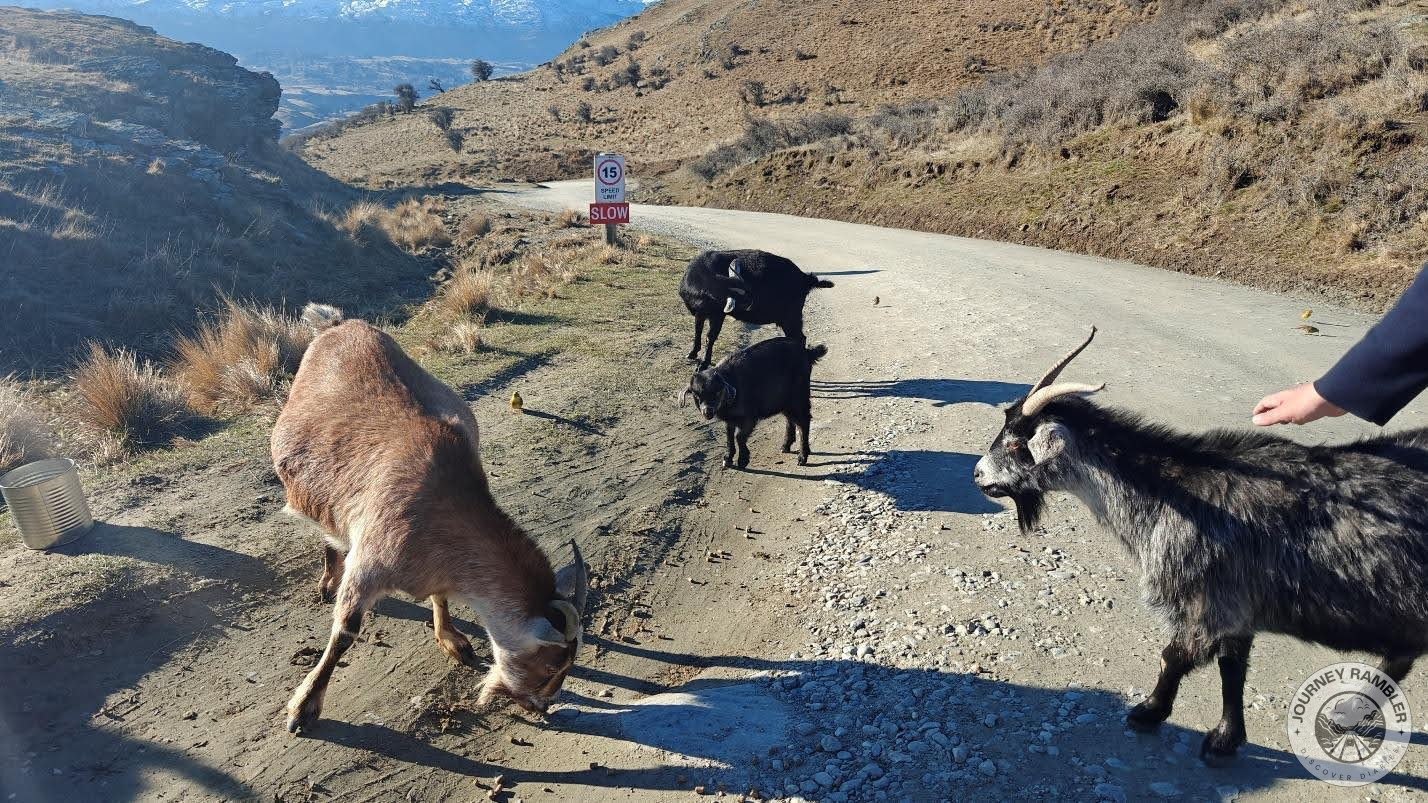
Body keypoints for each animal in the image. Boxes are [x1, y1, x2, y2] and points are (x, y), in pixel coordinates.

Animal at [271, 304, 589, 734]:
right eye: (551, 665)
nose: (540, 707)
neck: (442, 499)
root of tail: (336, 325)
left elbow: (440, 595)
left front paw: (452, 640)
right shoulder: (370, 561)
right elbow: (345, 632)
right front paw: (303, 706)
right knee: (326, 531)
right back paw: (327, 581)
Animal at [679, 249, 834, 369]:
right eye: (744, 296)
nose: (751, 303)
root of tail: (805, 279)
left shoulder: (717, 314)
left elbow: (710, 336)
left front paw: (703, 364)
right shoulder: (700, 312)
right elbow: (698, 331)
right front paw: (692, 353)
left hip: (791, 317)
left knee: (800, 338)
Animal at [682, 337, 827, 468]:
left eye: (717, 391)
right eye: (696, 394)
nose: (707, 411)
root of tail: (807, 353)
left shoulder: (749, 418)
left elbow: (739, 436)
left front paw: (742, 461)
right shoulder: (730, 420)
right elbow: (729, 436)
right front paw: (727, 458)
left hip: (799, 397)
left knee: (804, 421)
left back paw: (802, 457)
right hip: (785, 401)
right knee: (790, 419)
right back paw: (785, 446)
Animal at [973, 328, 1428, 763]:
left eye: (1017, 443)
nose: (978, 474)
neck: (1174, 492)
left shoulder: (1205, 603)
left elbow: (1172, 657)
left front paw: (1149, 712)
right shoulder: (1235, 609)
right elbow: (1232, 670)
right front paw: (1226, 738)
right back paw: (1350, 713)